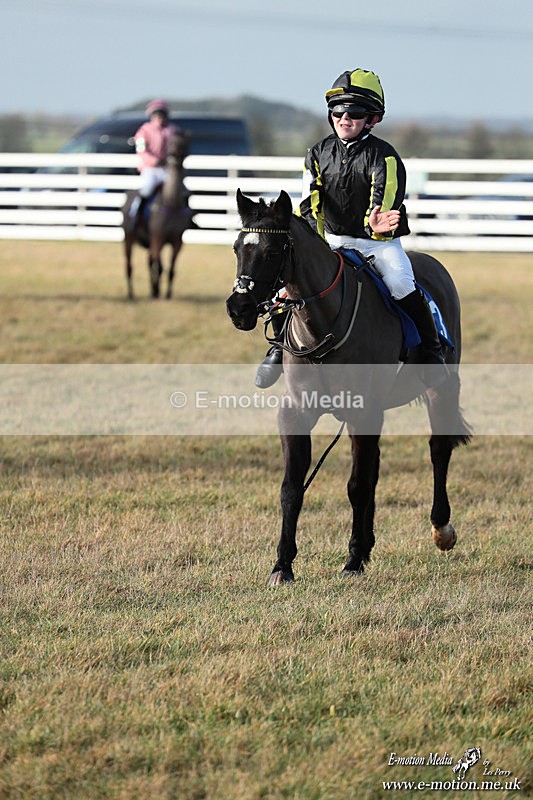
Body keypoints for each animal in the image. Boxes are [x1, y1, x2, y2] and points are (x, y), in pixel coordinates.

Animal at [122, 129, 194, 299]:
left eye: (184, 143)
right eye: (171, 143)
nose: (175, 157)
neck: (171, 203)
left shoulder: (177, 241)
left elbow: (171, 269)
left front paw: (166, 294)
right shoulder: (158, 237)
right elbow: (160, 266)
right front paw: (157, 290)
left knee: (150, 262)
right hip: (128, 238)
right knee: (130, 266)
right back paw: (131, 294)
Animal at [226, 189, 472, 587]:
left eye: (272, 251)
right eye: (237, 247)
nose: (239, 308)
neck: (323, 324)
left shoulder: (363, 412)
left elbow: (357, 486)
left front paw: (353, 559)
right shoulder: (296, 413)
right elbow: (292, 488)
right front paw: (283, 565)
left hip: (443, 388)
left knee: (439, 449)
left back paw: (441, 528)